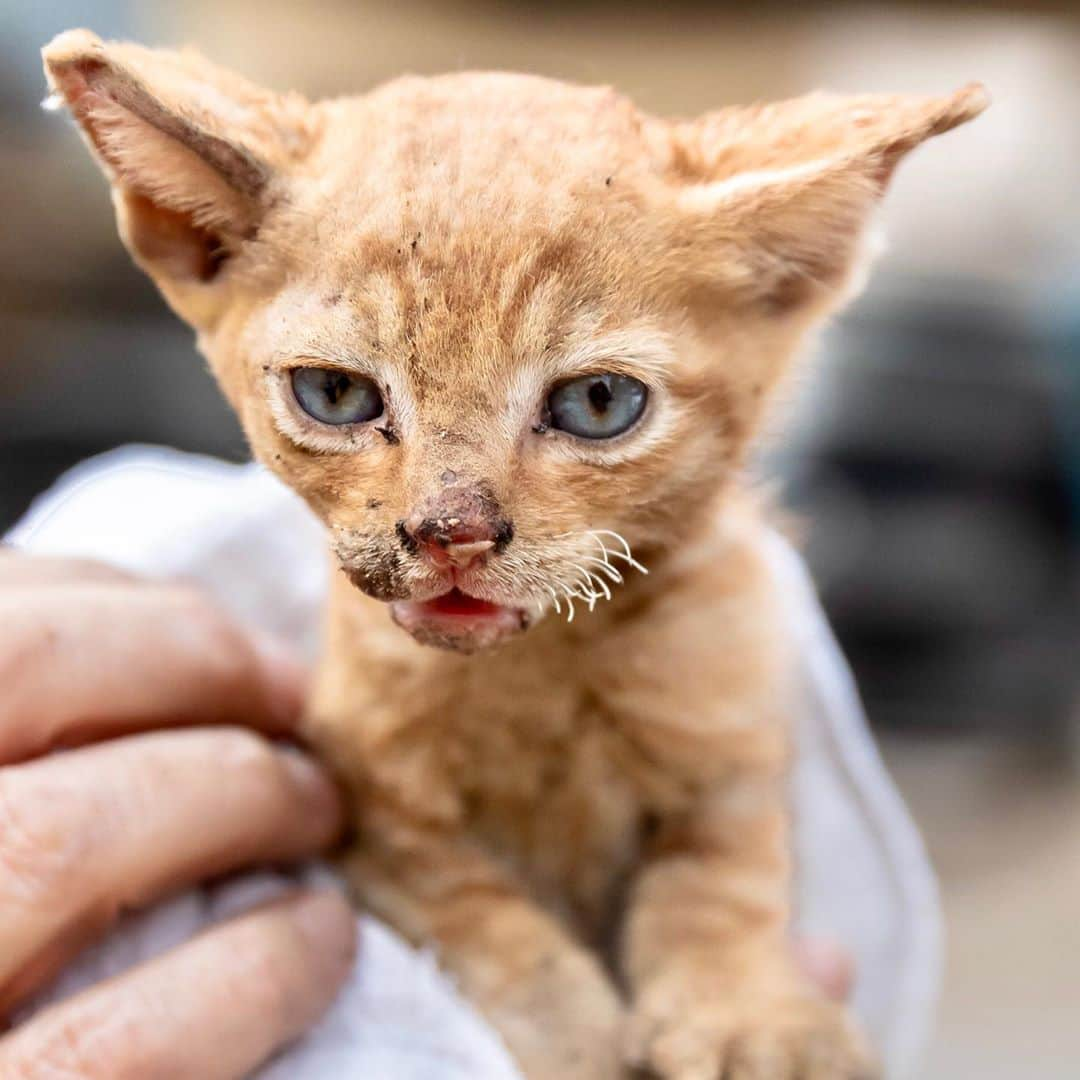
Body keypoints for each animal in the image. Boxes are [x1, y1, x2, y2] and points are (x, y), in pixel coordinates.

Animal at [44, 29, 989, 1075]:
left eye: (599, 404)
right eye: (335, 394)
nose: (451, 530)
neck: (536, 678)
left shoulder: (736, 734)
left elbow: (724, 873)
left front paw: (747, 1013)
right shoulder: (359, 799)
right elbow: (471, 911)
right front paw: (578, 1035)